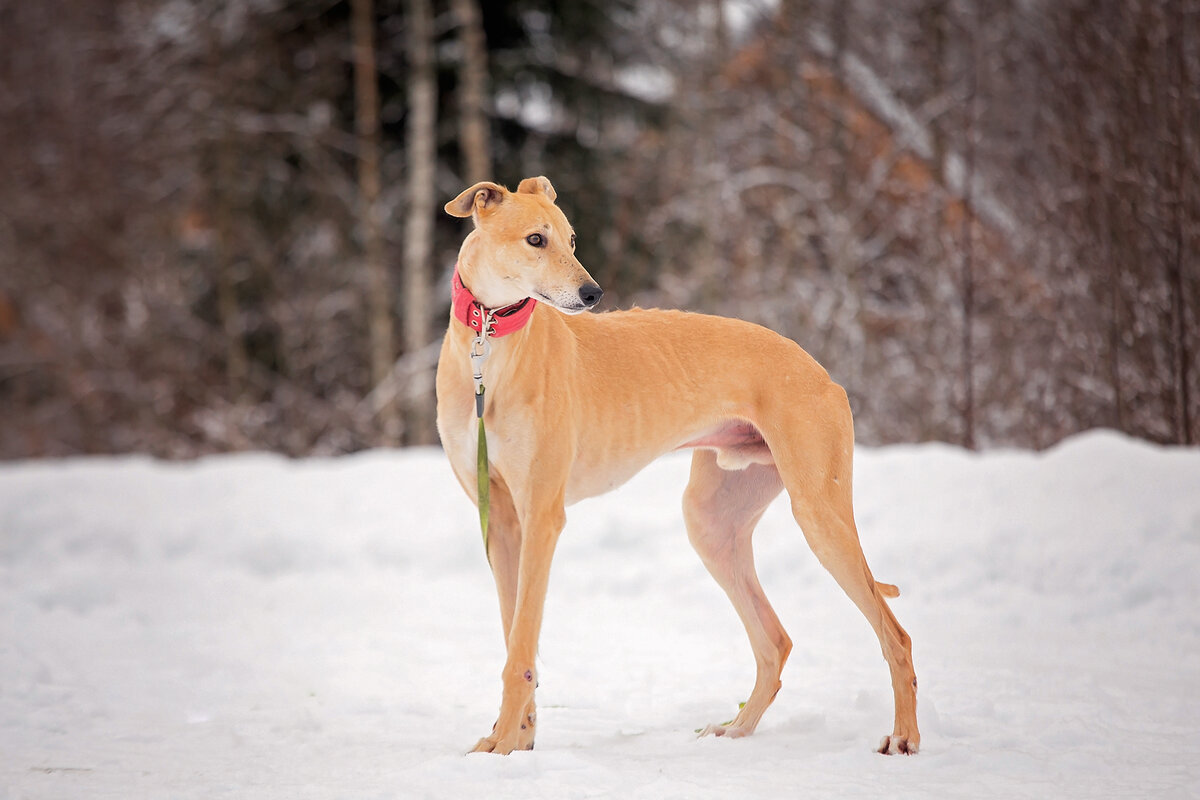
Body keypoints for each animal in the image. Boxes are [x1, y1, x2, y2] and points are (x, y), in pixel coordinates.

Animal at [439, 175, 916, 758]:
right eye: (535, 239)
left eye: (571, 239)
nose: (593, 294)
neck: (489, 343)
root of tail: (822, 373)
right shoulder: (502, 523)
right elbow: (515, 638)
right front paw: (517, 738)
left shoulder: (542, 516)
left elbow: (521, 646)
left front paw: (504, 744)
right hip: (713, 523)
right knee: (775, 641)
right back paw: (736, 729)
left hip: (820, 514)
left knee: (895, 635)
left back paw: (904, 736)